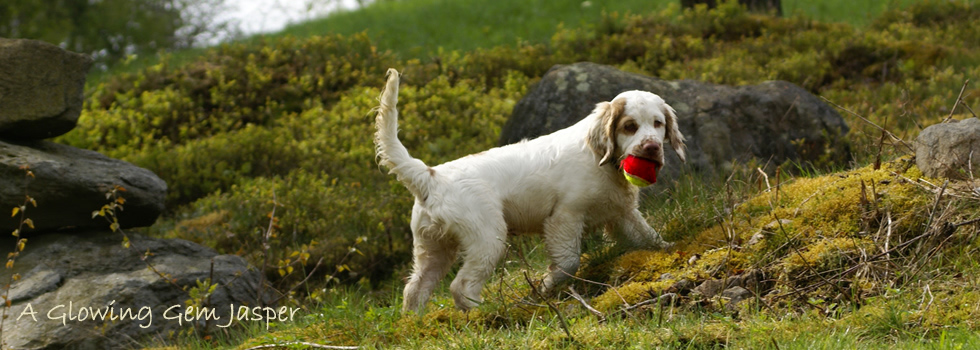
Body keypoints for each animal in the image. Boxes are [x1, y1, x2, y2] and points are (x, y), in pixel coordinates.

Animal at [372, 68, 684, 312]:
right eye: (630, 126)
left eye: (658, 124)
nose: (651, 147)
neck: (603, 160)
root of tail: (430, 176)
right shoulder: (565, 217)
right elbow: (568, 261)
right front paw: (545, 289)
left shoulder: (622, 213)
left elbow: (650, 237)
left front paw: (671, 250)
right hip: (488, 238)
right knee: (461, 286)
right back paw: (488, 312)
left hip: (434, 247)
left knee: (415, 289)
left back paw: (414, 323)